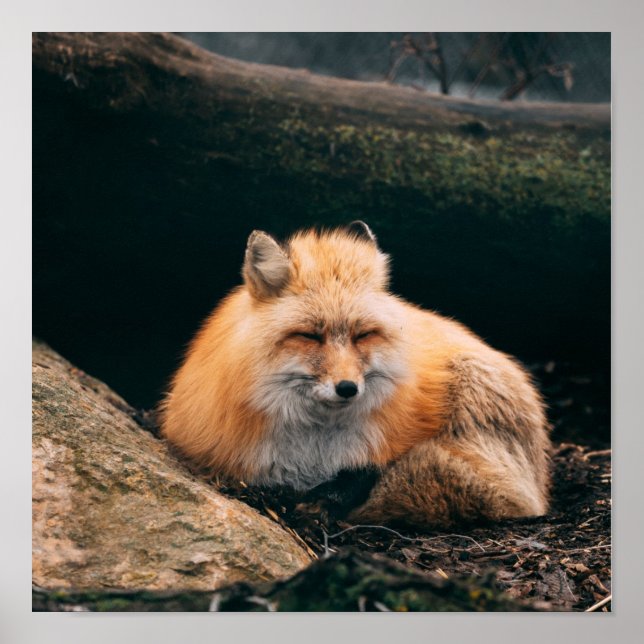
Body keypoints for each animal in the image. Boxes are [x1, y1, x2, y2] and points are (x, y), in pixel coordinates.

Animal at [160, 222, 551, 529]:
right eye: (309, 335)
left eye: (362, 335)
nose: (347, 388)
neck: (313, 450)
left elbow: (363, 476)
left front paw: (326, 501)